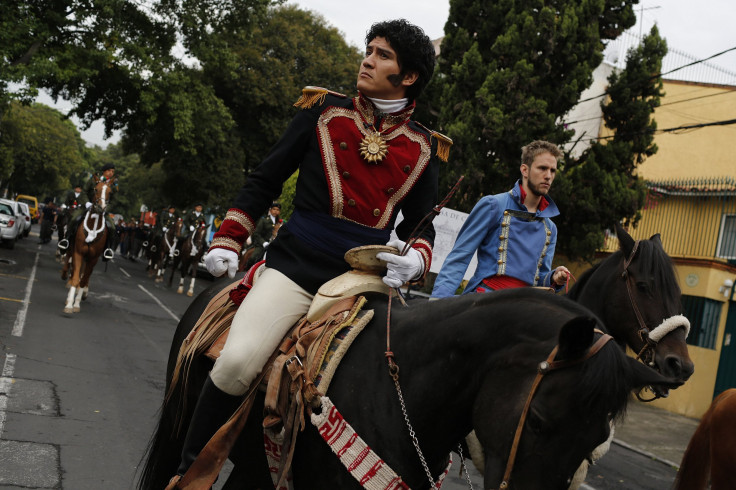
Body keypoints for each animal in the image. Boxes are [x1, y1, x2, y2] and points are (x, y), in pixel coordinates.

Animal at [61, 176, 115, 314]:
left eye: (110, 192)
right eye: (95, 189)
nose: (101, 207)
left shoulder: (93, 258)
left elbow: (84, 279)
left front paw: (76, 303)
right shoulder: (78, 252)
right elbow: (76, 278)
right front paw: (69, 304)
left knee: (85, 276)